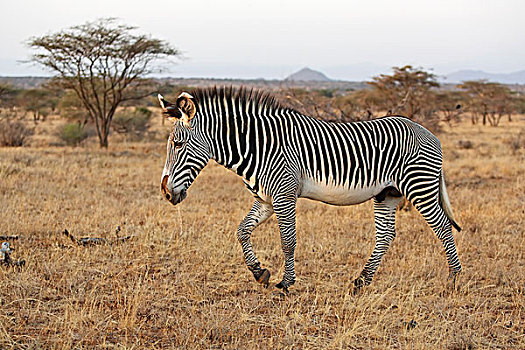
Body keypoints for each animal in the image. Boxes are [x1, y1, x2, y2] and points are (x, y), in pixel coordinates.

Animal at [158, 87, 460, 292]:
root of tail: (429, 133)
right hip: (387, 193)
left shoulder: (284, 194)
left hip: (419, 185)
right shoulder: (265, 199)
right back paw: (361, 281)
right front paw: (259, 272)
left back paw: (454, 278)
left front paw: (286, 283)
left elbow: (288, 241)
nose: (166, 193)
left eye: (177, 145)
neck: (258, 146)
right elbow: (241, 231)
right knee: (386, 236)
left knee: (443, 228)